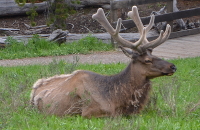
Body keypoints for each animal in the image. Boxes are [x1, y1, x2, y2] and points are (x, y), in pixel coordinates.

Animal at [30, 5, 177, 118]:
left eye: (155, 55)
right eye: (147, 60)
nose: (173, 66)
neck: (117, 98)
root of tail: (33, 90)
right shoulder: (90, 112)